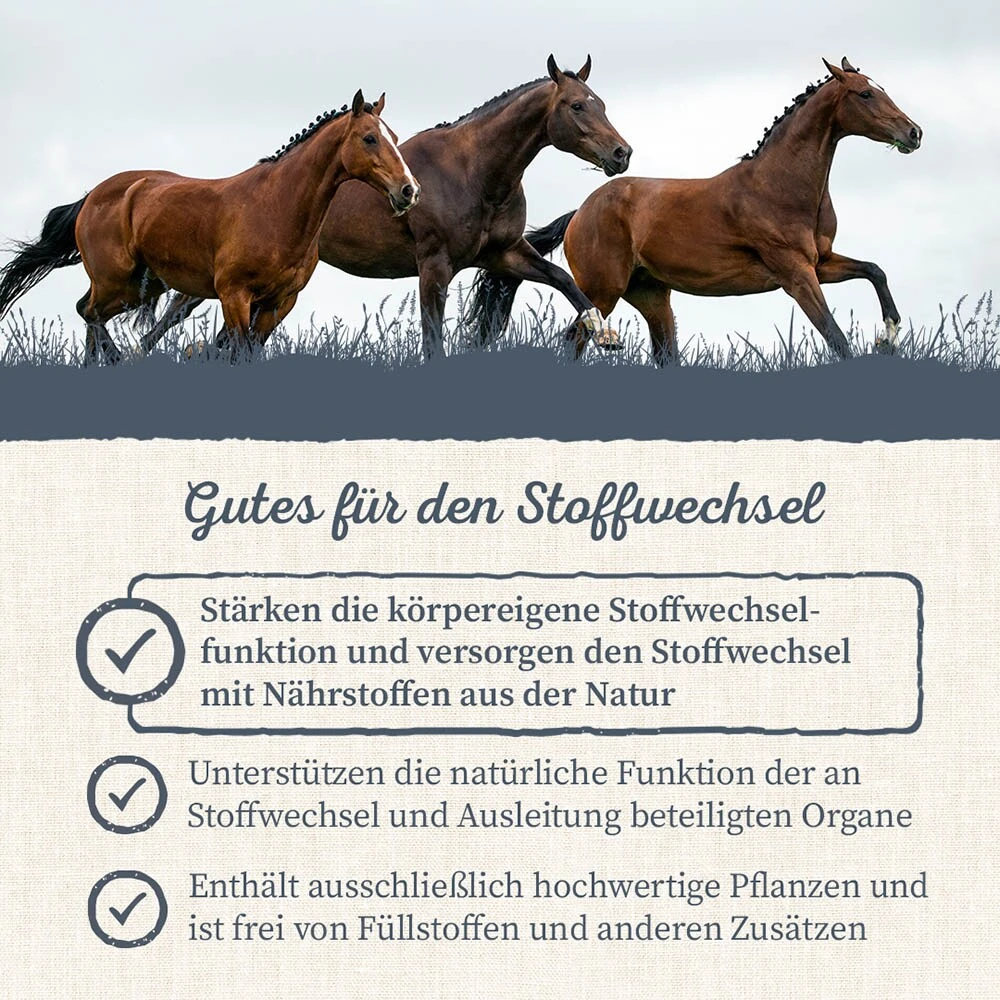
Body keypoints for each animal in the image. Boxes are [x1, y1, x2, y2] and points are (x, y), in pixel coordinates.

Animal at [0, 90, 419, 363]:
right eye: (369, 138)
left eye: (396, 138)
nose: (409, 190)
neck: (277, 208)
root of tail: (92, 197)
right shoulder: (235, 295)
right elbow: (236, 351)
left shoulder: (279, 303)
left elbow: (249, 352)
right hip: (116, 283)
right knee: (88, 313)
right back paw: (119, 359)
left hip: (137, 286)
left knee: (90, 318)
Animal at [143, 55, 632, 361]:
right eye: (576, 105)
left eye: (602, 104)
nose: (622, 153)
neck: (474, 172)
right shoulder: (434, 266)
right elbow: (432, 340)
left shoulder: (505, 254)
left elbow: (565, 281)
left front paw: (605, 333)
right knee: (169, 318)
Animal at [468, 58, 922, 364]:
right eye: (865, 93)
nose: (914, 132)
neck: (780, 187)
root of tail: (580, 212)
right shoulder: (796, 274)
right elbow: (836, 337)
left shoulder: (820, 262)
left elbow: (875, 271)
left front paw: (889, 335)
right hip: (603, 290)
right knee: (576, 338)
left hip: (651, 296)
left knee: (658, 353)